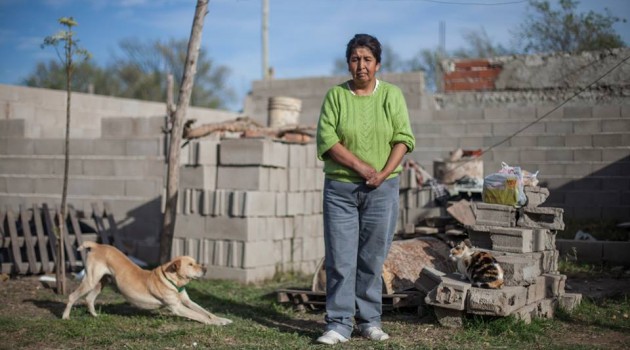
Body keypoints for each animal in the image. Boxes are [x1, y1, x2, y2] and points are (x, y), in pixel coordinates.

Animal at [61, 241, 232, 326]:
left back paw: (95, 316)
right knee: (72, 296)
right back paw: (65, 317)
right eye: (190, 265)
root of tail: (97, 245)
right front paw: (215, 323)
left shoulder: (187, 301)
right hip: (90, 280)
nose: (205, 269)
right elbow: (199, 315)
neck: (172, 280)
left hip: (101, 282)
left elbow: (206, 312)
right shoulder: (177, 307)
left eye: (195, 262)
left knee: (89, 299)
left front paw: (222, 319)